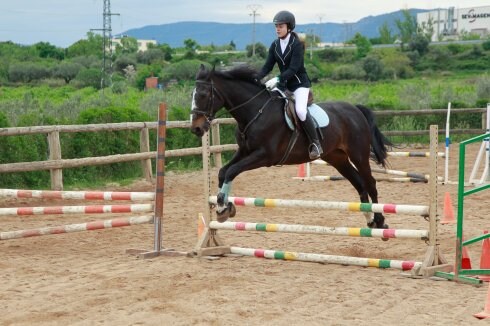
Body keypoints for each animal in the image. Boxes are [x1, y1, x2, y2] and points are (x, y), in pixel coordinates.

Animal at [189, 64, 392, 229]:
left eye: (203, 95)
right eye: (192, 95)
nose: (196, 128)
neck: (256, 112)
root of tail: (355, 109)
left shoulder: (264, 156)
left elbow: (232, 171)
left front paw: (223, 206)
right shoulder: (244, 151)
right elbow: (223, 172)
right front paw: (222, 207)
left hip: (358, 154)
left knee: (370, 183)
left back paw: (380, 221)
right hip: (337, 158)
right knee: (359, 183)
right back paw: (369, 220)